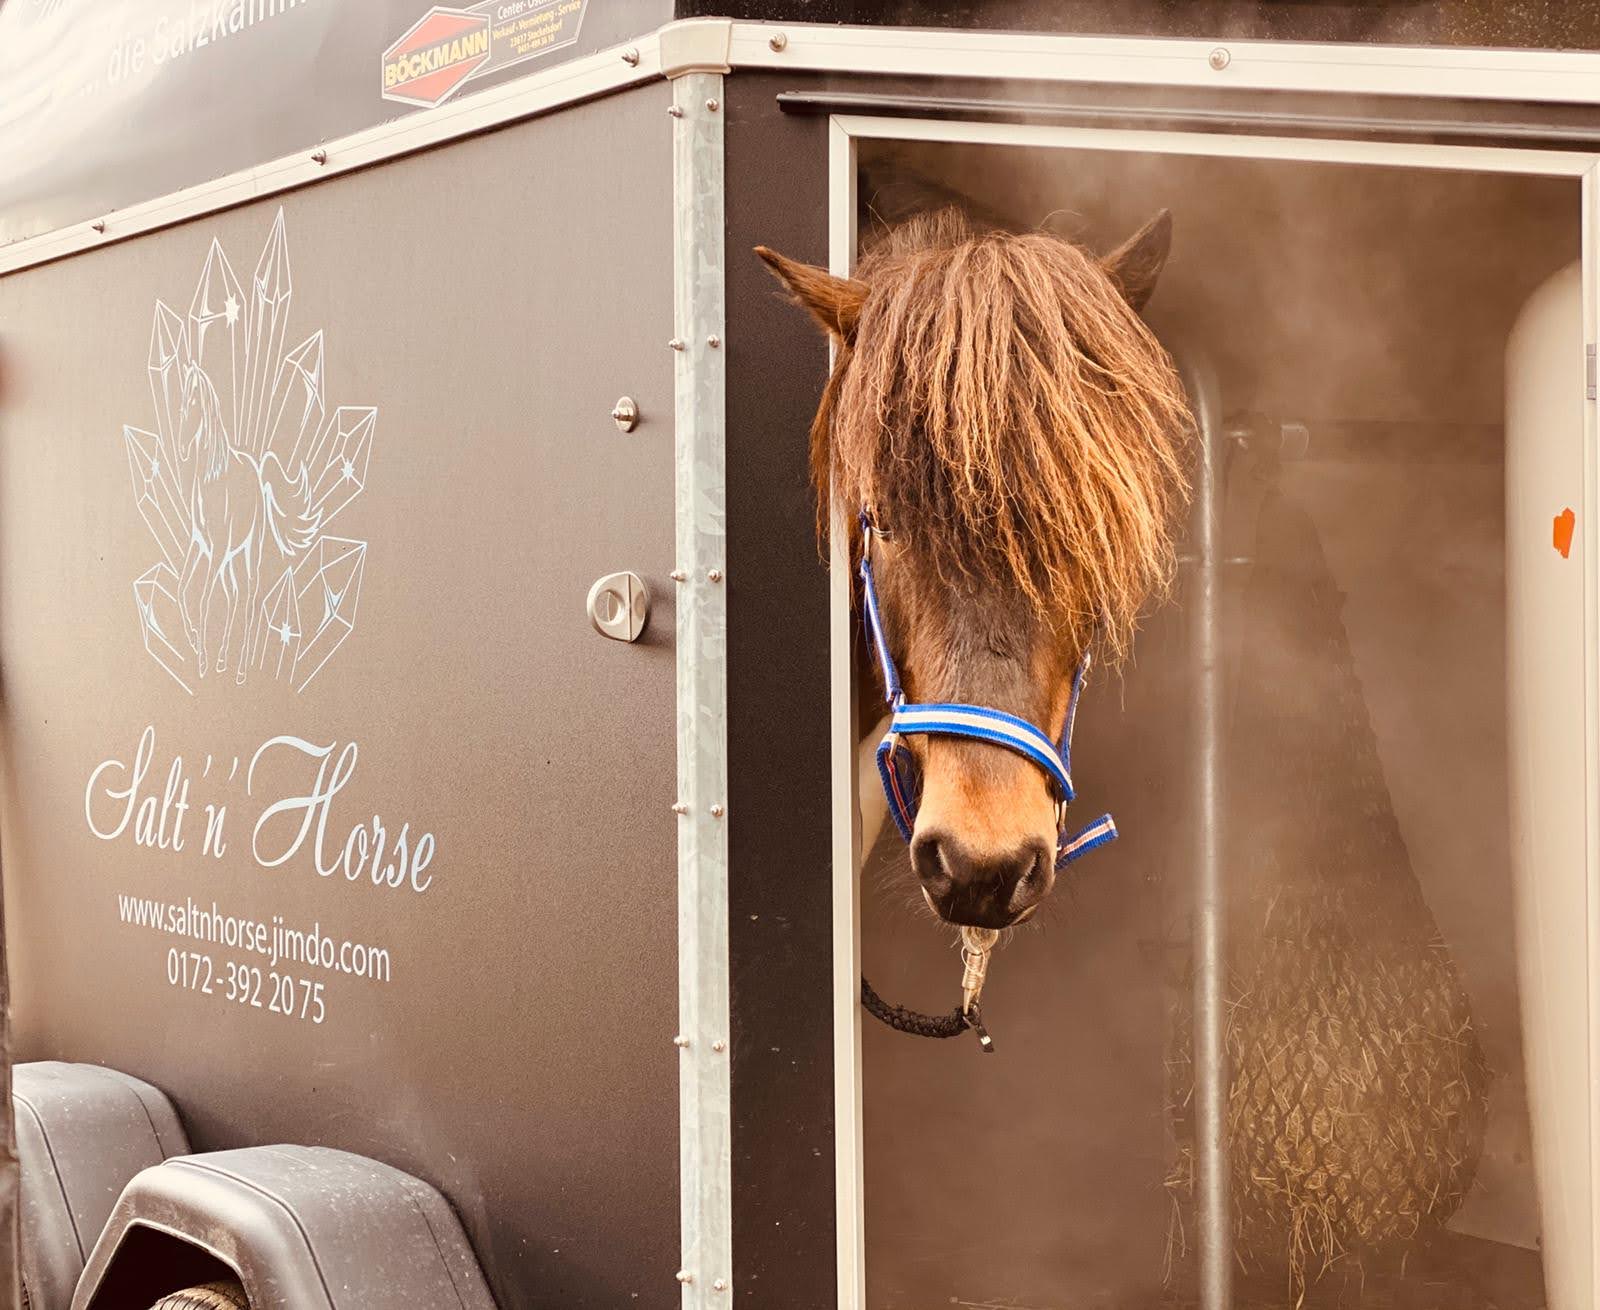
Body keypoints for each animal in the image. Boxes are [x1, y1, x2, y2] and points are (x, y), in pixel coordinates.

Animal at [176, 361, 320, 687]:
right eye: (180, 403)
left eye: (194, 401)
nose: (182, 450)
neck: (211, 480)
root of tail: (256, 470)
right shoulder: (199, 544)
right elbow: (182, 590)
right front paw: (193, 640)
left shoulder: (215, 551)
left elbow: (203, 599)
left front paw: (201, 661)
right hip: (230, 557)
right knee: (234, 595)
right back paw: (222, 659)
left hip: (249, 551)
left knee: (250, 597)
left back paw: (241, 667)